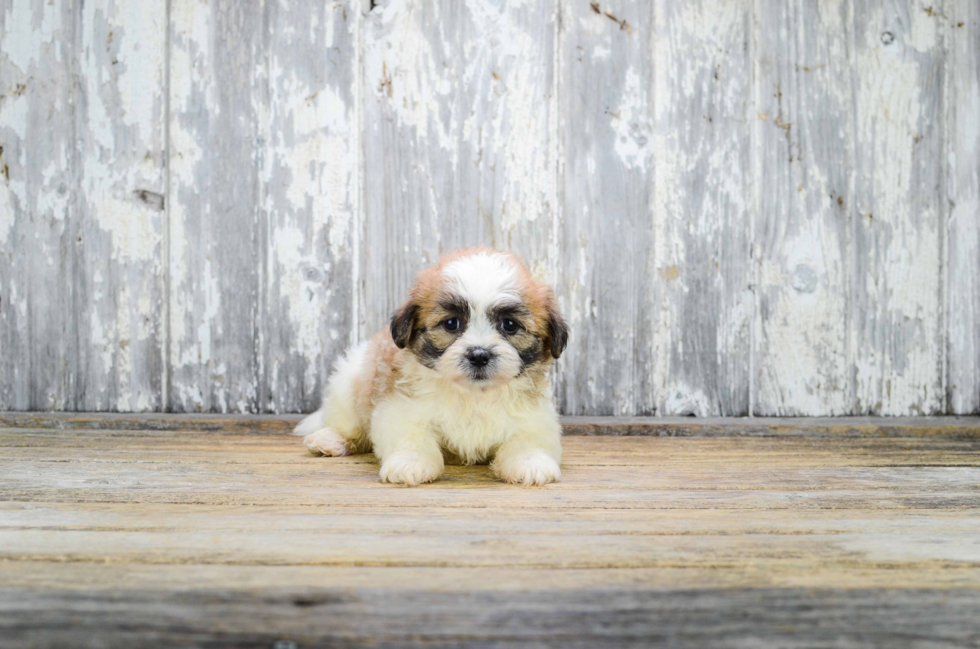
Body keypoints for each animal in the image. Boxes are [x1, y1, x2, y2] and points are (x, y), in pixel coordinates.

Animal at [298, 248, 572, 486]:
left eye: (510, 325)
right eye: (451, 324)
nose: (479, 355)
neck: (473, 395)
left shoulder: (535, 418)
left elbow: (527, 440)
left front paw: (531, 463)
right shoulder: (399, 409)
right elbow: (413, 437)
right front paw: (410, 463)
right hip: (349, 382)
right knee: (348, 423)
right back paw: (331, 439)